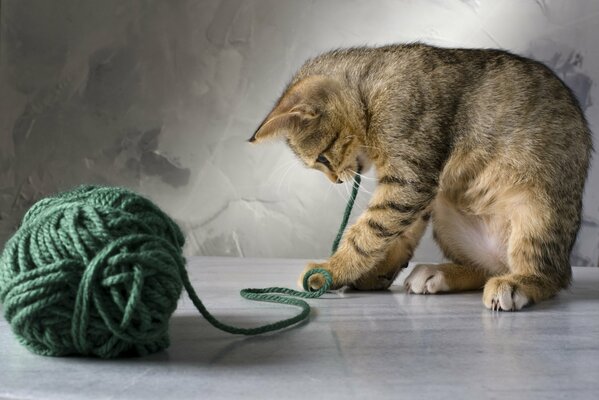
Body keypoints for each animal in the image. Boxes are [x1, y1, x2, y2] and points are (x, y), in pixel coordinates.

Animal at [250, 44, 596, 312]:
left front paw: (333, 269)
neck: (371, 93)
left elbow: (369, 231)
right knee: (484, 268)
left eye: (321, 158)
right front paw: (373, 272)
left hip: (537, 208)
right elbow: (396, 233)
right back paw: (439, 273)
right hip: (446, 207)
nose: (336, 180)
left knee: (549, 275)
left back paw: (517, 285)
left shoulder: (410, 176)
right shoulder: (417, 184)